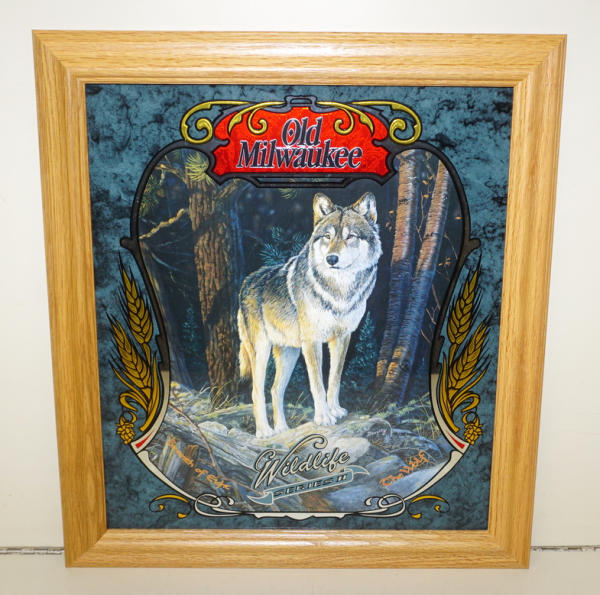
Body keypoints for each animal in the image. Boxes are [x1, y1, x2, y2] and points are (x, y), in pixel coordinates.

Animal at [237, 192, 382, 438]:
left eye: (350, 236)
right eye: (327, 236)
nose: (331, 259)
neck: (339, 292)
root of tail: (246, 282)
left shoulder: (342, 337)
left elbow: (335, 378)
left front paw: (335, 410)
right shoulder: (312, 342)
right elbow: (317, 384)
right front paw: (323, 417)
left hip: (290, 354)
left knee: (275, 390)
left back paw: (283, 429)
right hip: (262, 351)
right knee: (257, 391)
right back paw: (265, 431)